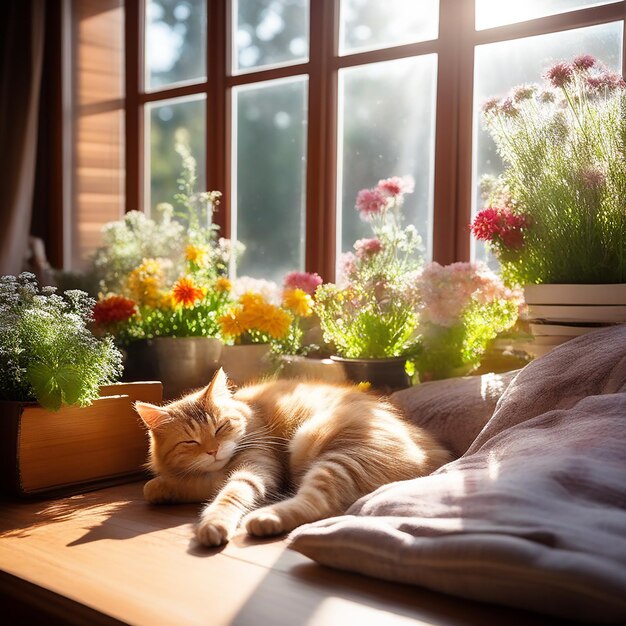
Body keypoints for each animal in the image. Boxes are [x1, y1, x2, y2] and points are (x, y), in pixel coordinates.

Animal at [136, 368, 448, 544]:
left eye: (221, 427)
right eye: (190, 441)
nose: (213, 450)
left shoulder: (257, 468)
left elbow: (228, 494)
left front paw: (214, 523)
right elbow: (170, 484)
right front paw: (162, 488)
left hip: (334, 456)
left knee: (319, 505)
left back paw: (265, 519)